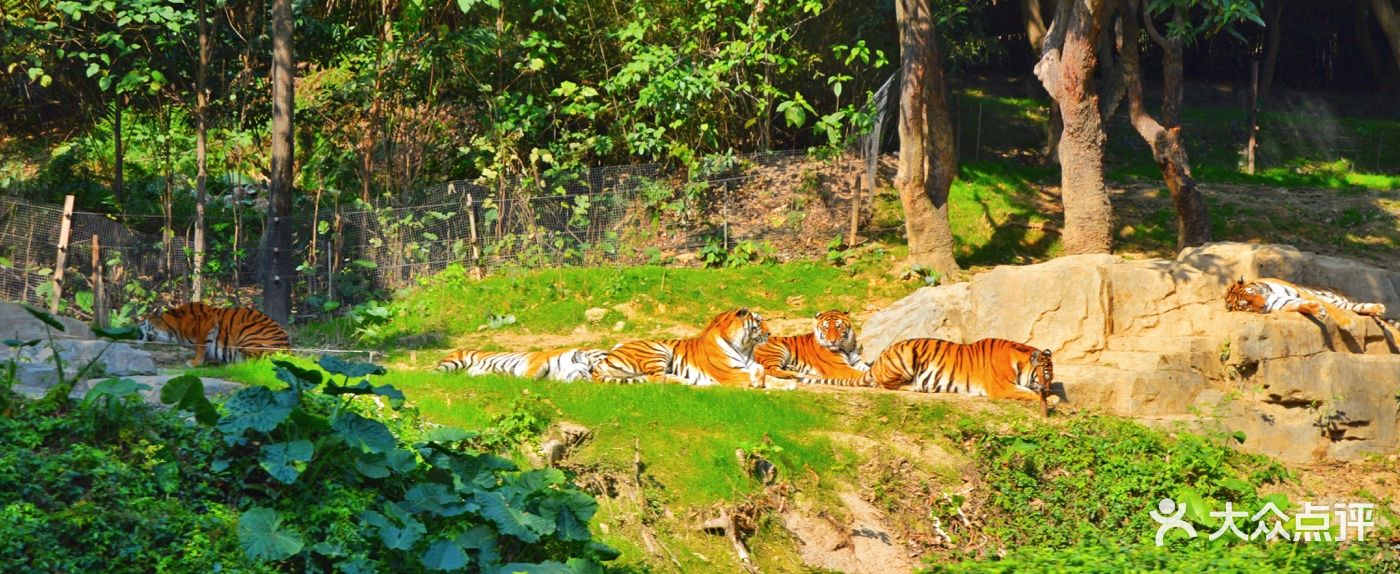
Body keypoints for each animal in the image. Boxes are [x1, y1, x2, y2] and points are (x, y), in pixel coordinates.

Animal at [137, 302, 289, 366]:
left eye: (143, 323)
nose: (136, 328)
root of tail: (287, 348)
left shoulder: (207, 322)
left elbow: (201, 345)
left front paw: (195, 362)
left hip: (247, 331)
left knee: (255, 361)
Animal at [588, 306, 772, 389]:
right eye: (758, 321)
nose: (770, 333)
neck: (744, 347)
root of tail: (605, 358)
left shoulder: (751, 365)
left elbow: (763, 371)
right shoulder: (734, 375)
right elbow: (755, 378)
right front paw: (758, 383)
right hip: (658, 350)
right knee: (656, 379)